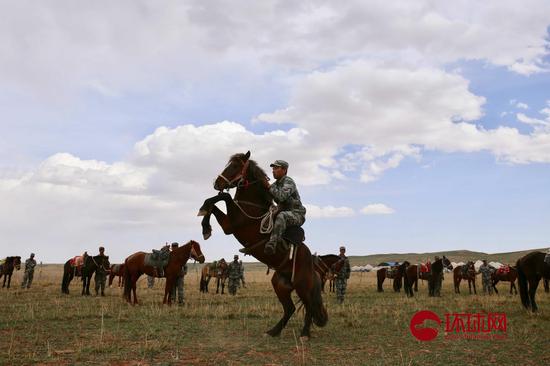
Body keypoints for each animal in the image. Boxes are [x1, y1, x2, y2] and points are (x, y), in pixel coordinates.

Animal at [198, 150, 328, 338]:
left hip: (302, 285)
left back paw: (304, 333)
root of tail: (311, 262)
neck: (253, 205)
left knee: (309, 306)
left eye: (235, 166)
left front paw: (205, 224)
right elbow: (215, 202)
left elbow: (224, 196)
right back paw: (274, 331)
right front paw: (205, 225)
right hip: (280, 285)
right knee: (290, 308)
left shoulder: (231, 224)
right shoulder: (229, 223)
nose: (217, 183)